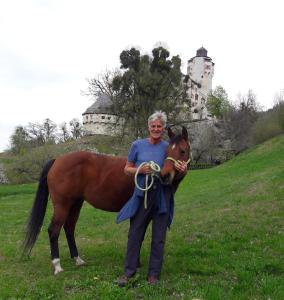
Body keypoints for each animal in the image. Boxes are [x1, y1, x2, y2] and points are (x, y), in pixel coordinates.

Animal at [22, 126, 191, 274]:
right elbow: (137, 235)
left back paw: (77, 259)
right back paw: (57, 266)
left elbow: (140, 236)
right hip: (62, 205)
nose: (165, 176)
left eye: (182, 151)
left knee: (69, 228)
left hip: (75, 204)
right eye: (167, 151)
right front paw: (135, 263)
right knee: (53, 230)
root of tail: (57, 160)